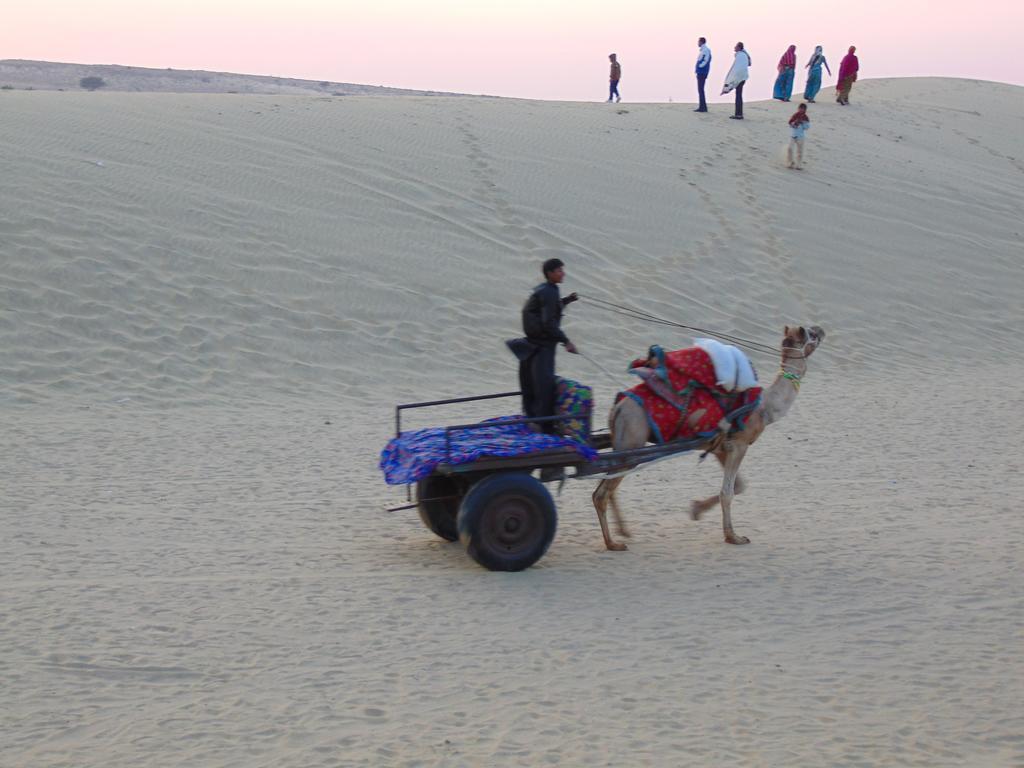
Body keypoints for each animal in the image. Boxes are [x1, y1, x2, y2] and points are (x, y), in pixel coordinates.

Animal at [593, 325, 823, 552]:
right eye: (809, 334)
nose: (820, 329)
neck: (764, 408)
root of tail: (618, 407)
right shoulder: (739, 444)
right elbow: (727, 492)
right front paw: (733, 536)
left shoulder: (720, 447)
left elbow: (739, 486)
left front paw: (696, 510)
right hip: (632, 440)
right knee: (601, 493)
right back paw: (612, 543)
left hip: (623, 444)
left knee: (609, 484)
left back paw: (623, 532)